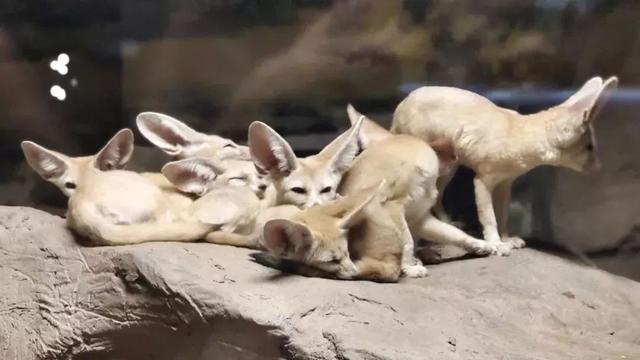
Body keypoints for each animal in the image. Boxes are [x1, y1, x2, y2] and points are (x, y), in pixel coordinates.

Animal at [392, 76, 616, 252]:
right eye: (590, 148)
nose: (599, 168)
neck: (520, 134)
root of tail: (402, 103)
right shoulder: (482, 181)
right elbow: (489, 217)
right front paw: (496, 243)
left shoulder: (505, 183)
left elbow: (502, 214)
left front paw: (507, 238)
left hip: (450, 166)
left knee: (438, 195)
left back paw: (448, 222)